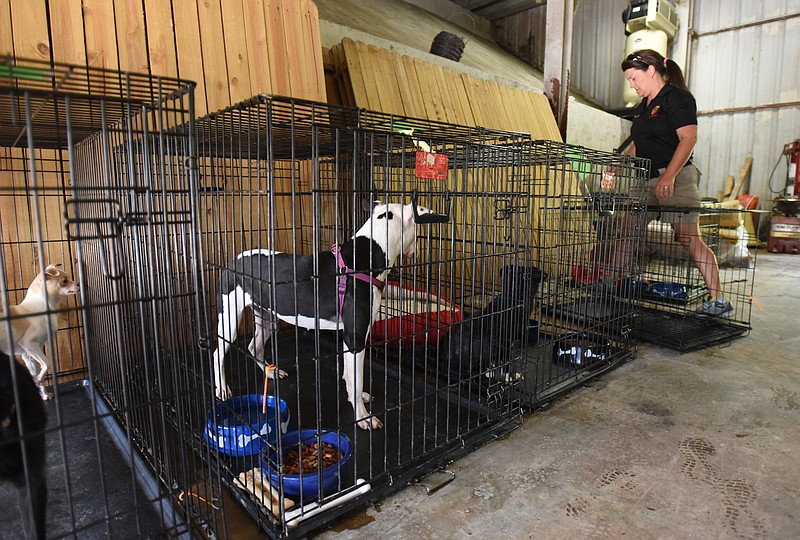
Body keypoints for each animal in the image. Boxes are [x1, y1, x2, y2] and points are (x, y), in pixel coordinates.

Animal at [209, 202, 428, 430]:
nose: (416, 252)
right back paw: (222, 388)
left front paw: (356, 398)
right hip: (229, 319)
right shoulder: (356, 338)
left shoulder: (349, 338)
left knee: (254, 347)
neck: (368, 252)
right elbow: (357, 380)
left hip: (267, 317)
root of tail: (232, 263)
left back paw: (270, 372)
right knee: (218, 353)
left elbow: (351, 376)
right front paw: (363, 417)